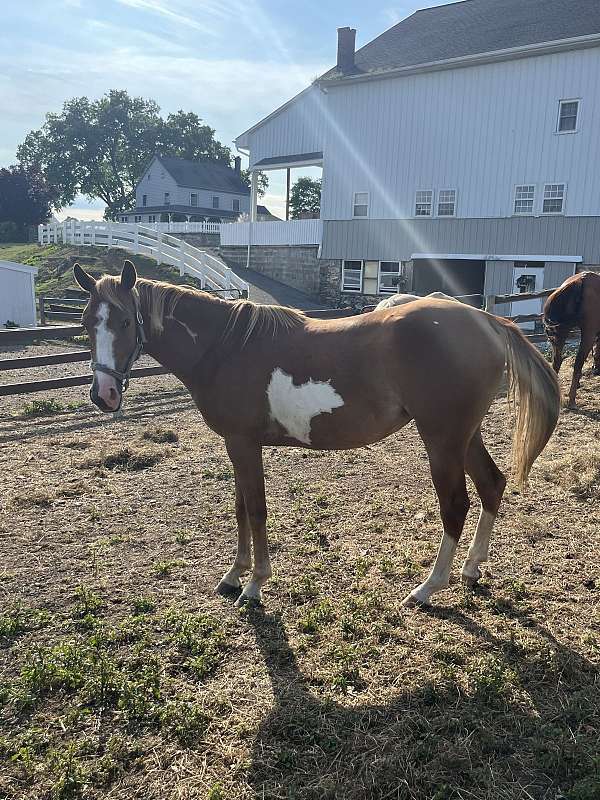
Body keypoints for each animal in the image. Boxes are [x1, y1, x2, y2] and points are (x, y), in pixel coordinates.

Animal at [76, 260, 564, 608]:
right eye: (85, 323)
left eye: (124, 321)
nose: (103, 395)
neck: (226, 346)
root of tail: (486, 321)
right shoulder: (237, 444)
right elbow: (240, 509)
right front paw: (234, 575)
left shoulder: (244, 444)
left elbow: (256, 511)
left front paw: (255, 584)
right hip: (465, 436)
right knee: (492, 485)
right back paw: (472, 568)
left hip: (442, 439)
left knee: (456, 505)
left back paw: (428, 587)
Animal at [544, 272, 600, 406]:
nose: (597, 371)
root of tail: (580, 281)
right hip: (587, 333)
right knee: (578, 362)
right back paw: (572, 400)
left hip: (560, 334)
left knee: (557, 361)